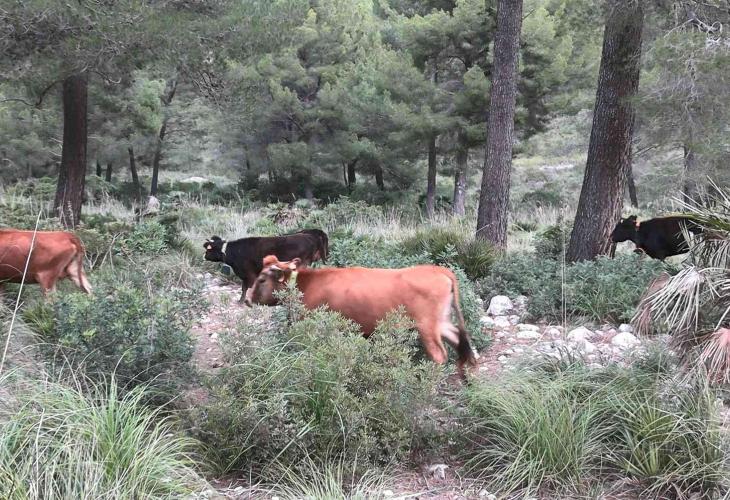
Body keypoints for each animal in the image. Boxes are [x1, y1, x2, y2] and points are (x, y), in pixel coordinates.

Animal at [244, 255, 477, 379]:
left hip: (427, 326)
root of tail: (439, 270)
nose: (247, 299)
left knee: (439, 355)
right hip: (442, 322)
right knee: (460, 340)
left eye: (262, 279)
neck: (308, 284)